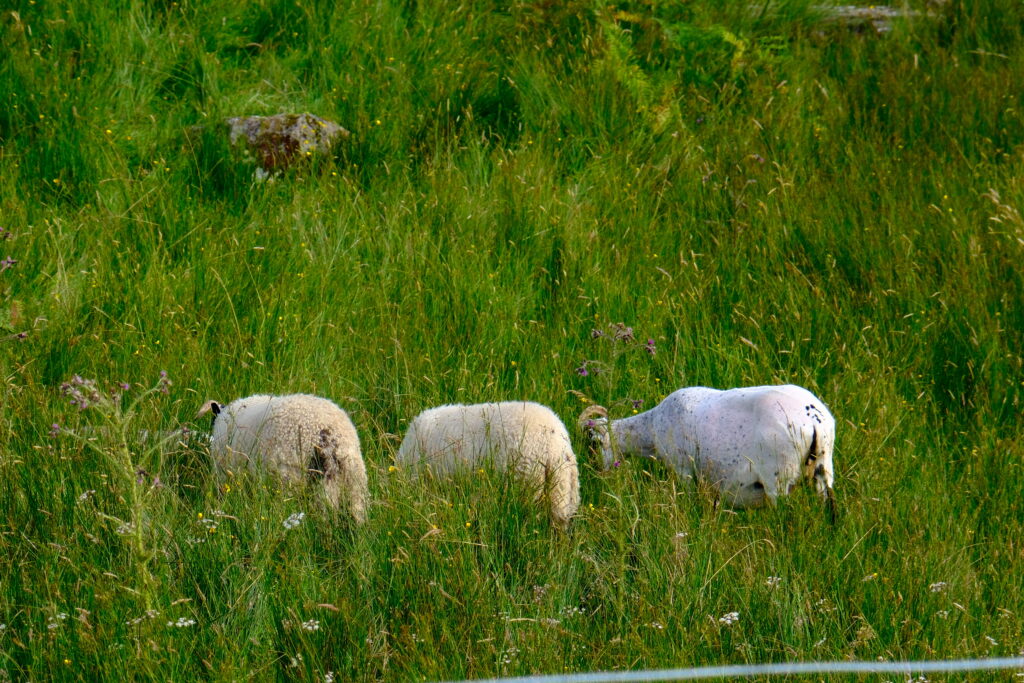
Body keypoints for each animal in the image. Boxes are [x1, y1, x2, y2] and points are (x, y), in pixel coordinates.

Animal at [581, 385, 835, 511]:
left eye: (593, 444)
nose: (598, 475)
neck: (650, 429)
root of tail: (813, 418)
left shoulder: (683, 470)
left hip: (778, 477)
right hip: (823, 466)